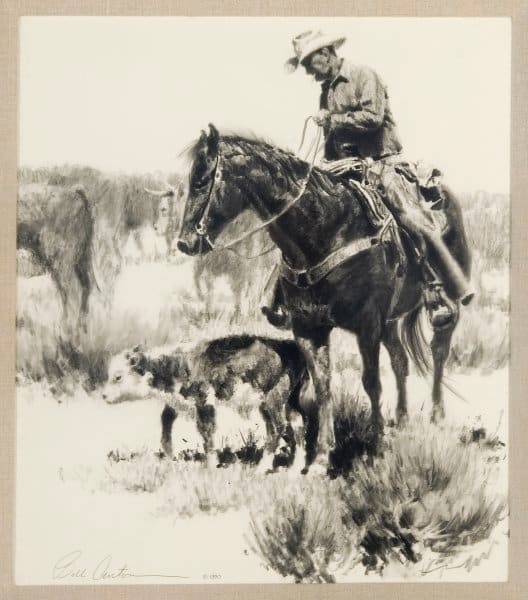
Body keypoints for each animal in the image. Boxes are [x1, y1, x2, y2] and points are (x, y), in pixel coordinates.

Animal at [102, 338, 310, 468]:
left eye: (118, 377)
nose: (103, 396)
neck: (174, 364)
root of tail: (289, 347)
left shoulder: (203, 402)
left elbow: (206, 433)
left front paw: (210, 465)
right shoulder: (178, 403)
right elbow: (166, 421)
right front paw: (170, 454)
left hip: (272, 401)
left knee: (279, 428)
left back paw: (261, 468)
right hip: (282, 404)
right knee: (295, 427)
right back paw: (295, 469)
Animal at [176, 125, 470, 474]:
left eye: (202, 179)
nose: (184, 242)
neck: (326, 232)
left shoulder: (367, 325)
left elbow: (371, 382)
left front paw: (377, 446)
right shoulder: (309, 329)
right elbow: (322, 387)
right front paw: (320, 457)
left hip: (445, 307)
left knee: (439, 349)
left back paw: (436, 416)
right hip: (391, 322)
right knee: (400, 360)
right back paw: (401, 421)